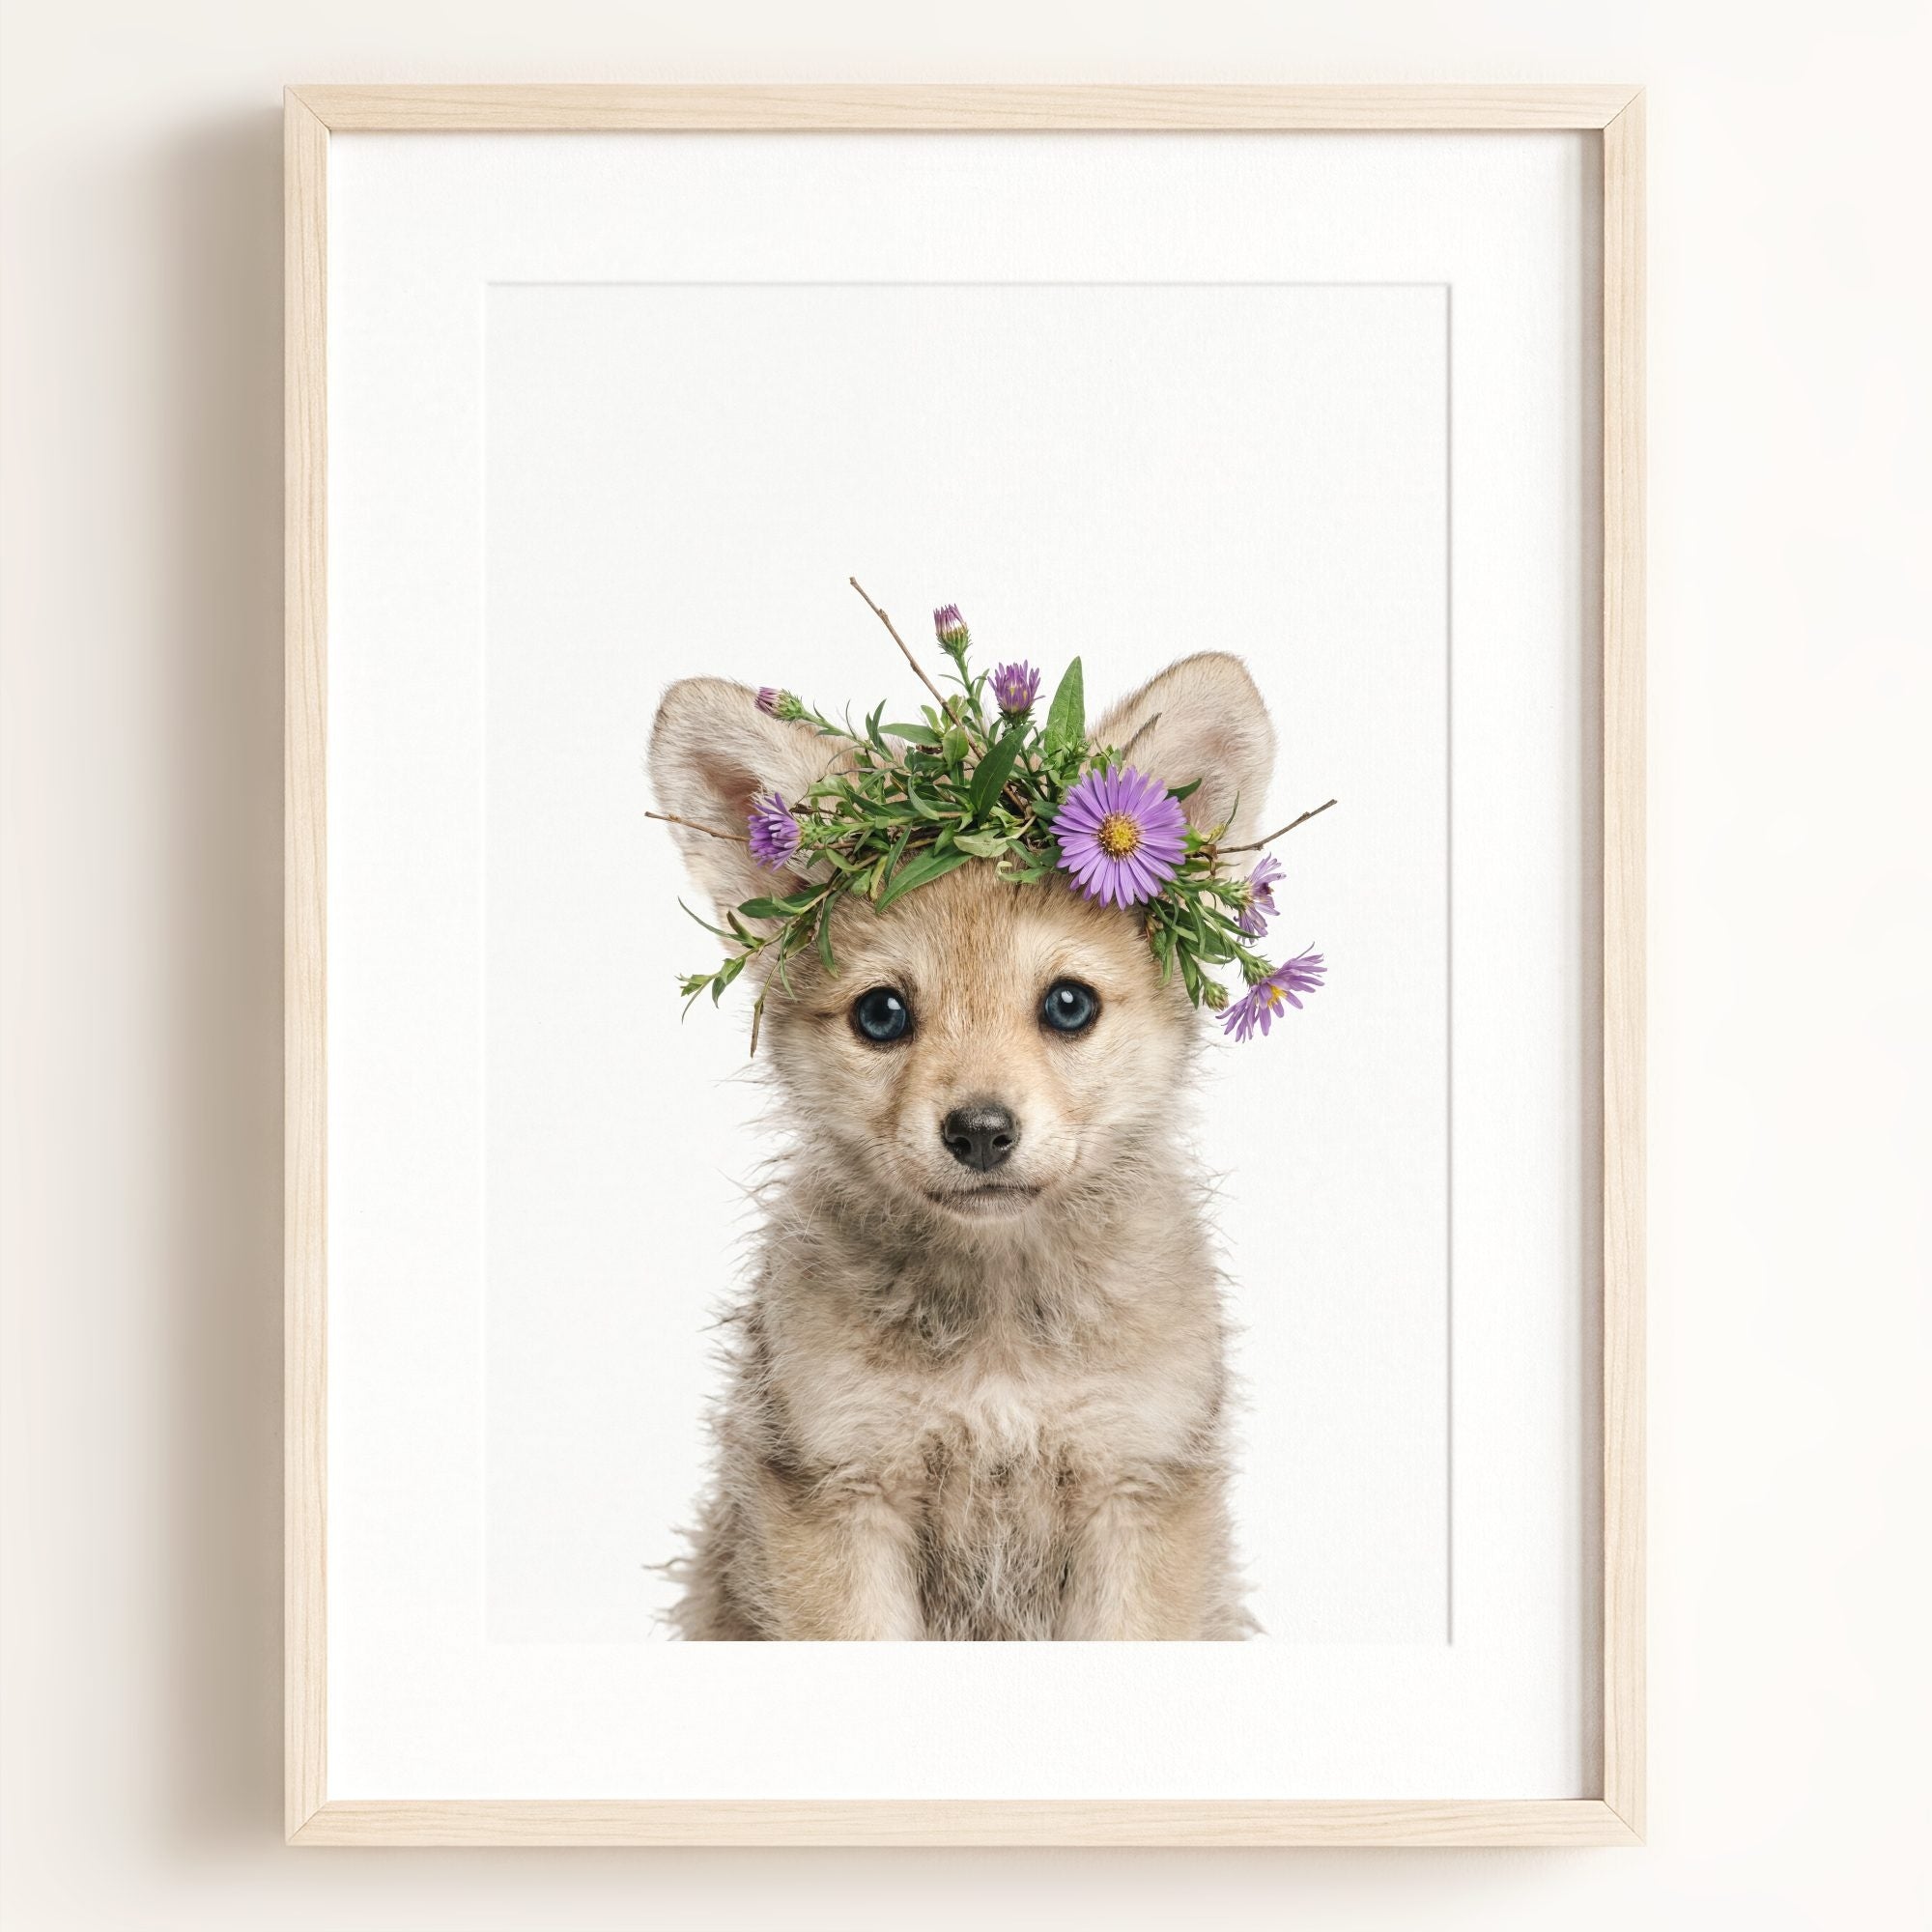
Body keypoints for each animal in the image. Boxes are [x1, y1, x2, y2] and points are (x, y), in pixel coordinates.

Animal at [648, 653, 1275, 1639]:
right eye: (881, 1014)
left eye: (1069, 1004)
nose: (980, 1132)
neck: (999, 1329)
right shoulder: (840, 1490)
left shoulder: (1137, 1487)